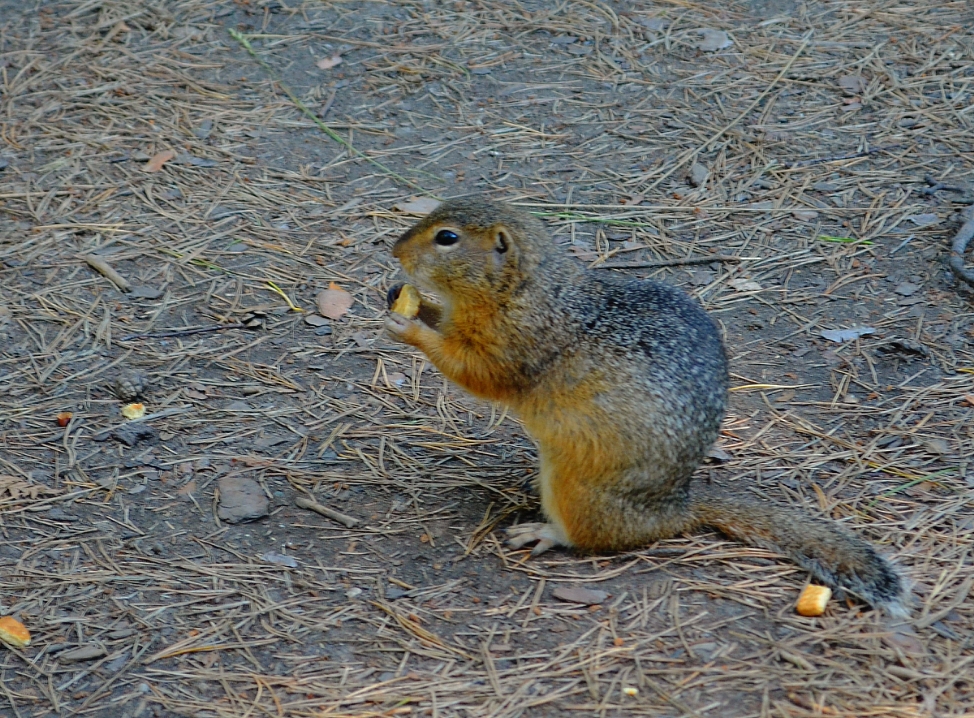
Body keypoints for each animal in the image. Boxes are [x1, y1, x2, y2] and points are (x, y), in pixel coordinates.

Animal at [386, 197, 908, 620]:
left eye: (447, 238)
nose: (394, 250)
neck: (522, 288)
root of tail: (673, 511)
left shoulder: (516, 343)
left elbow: (472, 371)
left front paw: (408, 327)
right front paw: (405, 301)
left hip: (574, 486)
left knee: (591, 535)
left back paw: (544, 532)